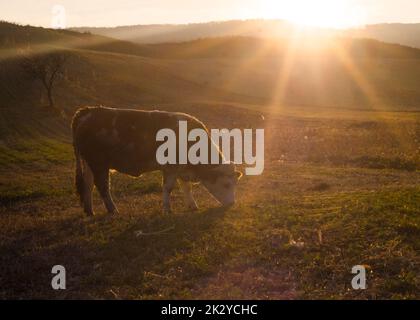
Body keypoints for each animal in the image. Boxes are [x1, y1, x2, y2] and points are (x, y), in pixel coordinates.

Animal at [72, 106, 243, 216]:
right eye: (226, 184)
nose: (232, 203)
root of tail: (88, 111)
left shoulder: (182, 169)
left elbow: (186, 188)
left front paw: (192, 206)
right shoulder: (171, 168)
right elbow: (168, 187)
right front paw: (167, 209)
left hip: (89, 163)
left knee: (88, 184)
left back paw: (89, 211)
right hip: (99, 163)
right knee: (102, 186)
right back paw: (113, 210)